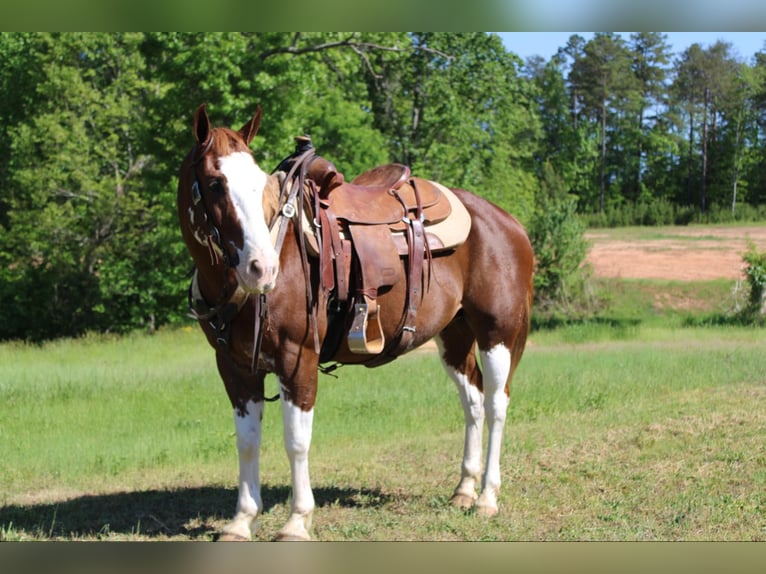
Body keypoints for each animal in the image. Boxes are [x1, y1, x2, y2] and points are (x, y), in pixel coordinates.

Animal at [176, 104, 536, 544]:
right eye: (214, 183)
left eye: (261, 184)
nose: (261, 267)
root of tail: (508, 223)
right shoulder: (235, 368)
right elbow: (247, 442)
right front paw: (242, 521)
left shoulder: (298, 360)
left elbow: (296, 441)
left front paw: (297, 521)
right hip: (455, 337)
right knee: (473, 401)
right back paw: (464, 490)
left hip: (497, 333)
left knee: (497, 403)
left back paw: (487, 497)